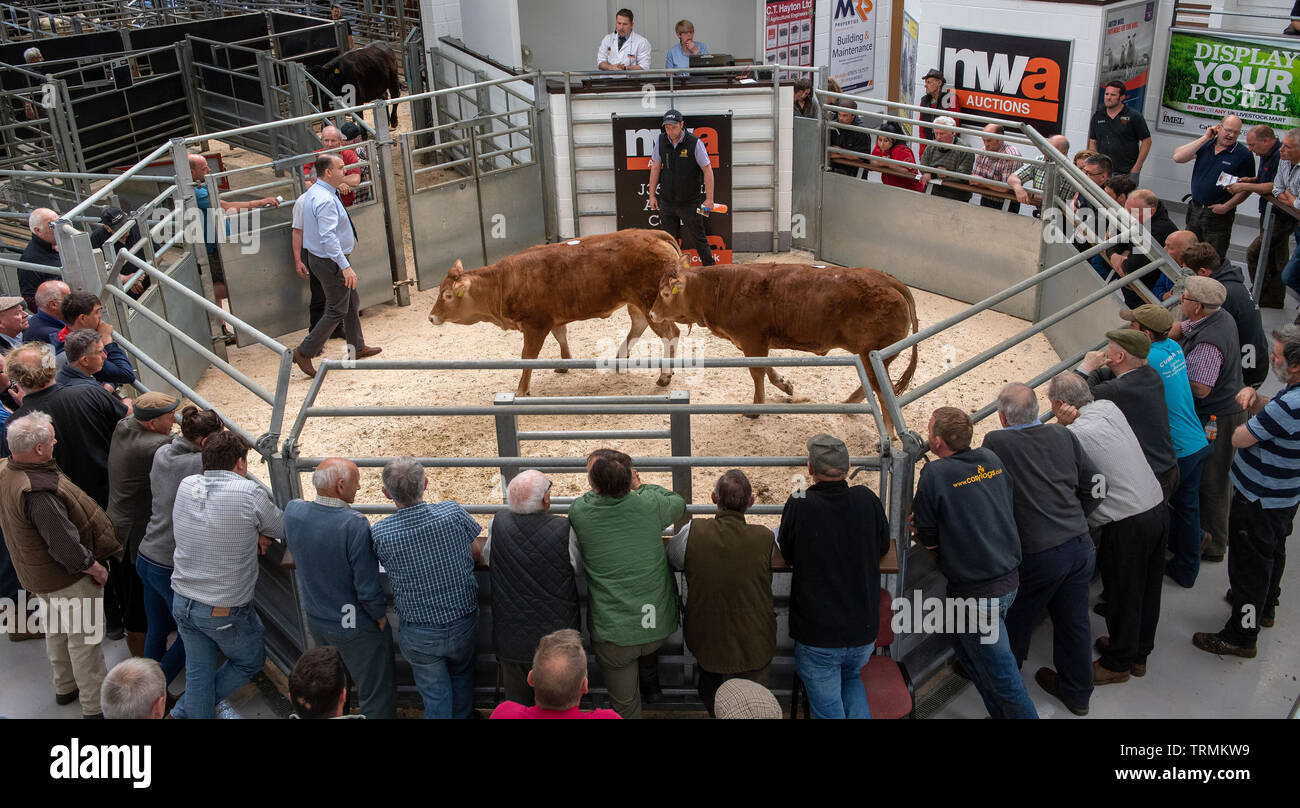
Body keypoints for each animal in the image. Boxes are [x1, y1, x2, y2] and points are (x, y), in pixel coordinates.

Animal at [428, 229, 685, 397]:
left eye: (448, 295)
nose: (431, 317)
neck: (505, 281)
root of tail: (655, 235)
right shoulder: (553, 317)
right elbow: (561, 334)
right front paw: (564, 363)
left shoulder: (535, 324)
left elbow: (528, 356)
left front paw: (521, 389)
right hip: (637, 302)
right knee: (639, 325)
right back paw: (620, 359)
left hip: (651, 302)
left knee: (670, 333)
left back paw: (664, 375)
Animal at [648, 263, 919, 436]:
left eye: (665, 293)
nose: (651, 313)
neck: (720, 289)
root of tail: (889, 280)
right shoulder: (757, 344)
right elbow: (767, 370)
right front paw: (785, 385)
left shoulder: (752, 341)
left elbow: (757, 373)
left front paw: (756, 408)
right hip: (871, 356)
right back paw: (849, 403)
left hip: (871, 354)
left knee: (883, 393)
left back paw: (890, 436)